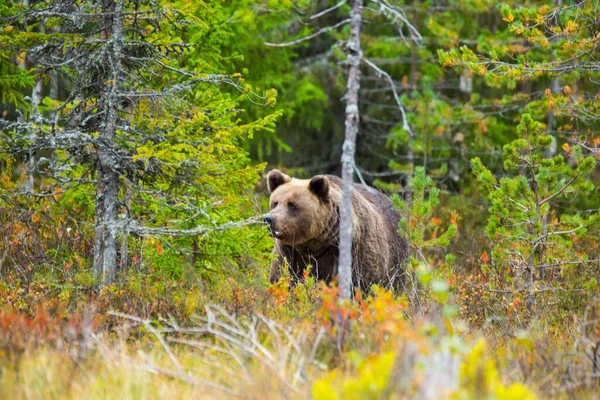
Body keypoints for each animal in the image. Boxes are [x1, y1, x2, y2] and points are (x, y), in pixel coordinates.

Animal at [266, 169, 408, 290]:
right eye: (275, 202)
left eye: (292, 205)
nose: (268, 219)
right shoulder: (289, 253)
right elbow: (280, 278)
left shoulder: (352, 252)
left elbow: (364, 284)